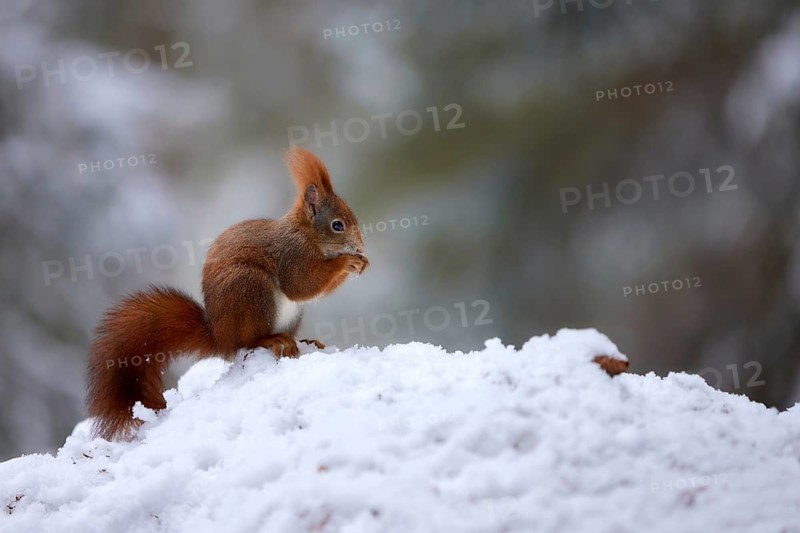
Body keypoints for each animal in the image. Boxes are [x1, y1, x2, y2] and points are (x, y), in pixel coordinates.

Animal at [86, 146, 369, 441]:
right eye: (338, 225)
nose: (360, 246)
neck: (306, 233)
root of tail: (220, 337)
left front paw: (362, 263)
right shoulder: (292, 256)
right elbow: (301, 284)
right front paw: (347, 262)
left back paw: (304, 341)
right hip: (251, 288)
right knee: (247, 342)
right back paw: (272, 339)